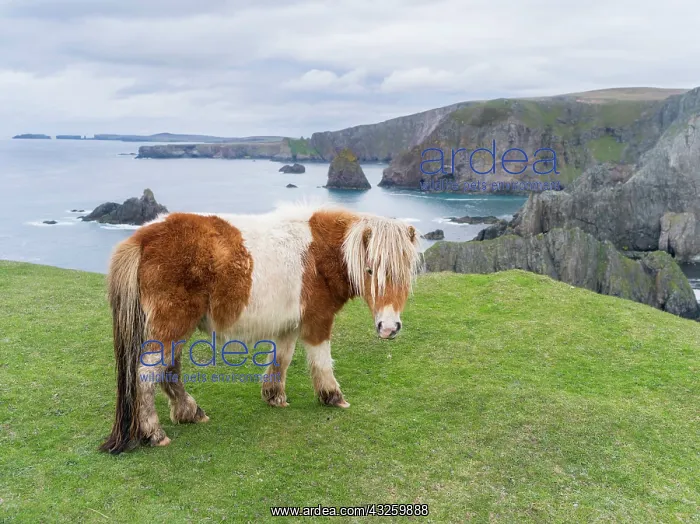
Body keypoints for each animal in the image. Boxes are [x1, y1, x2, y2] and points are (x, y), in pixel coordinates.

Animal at [99, 204, 422, 454]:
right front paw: (332, 396)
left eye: (406, 274)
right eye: (370, 271)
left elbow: (282, 359)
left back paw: (190, 412)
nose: (389, 328)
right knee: (147, 374)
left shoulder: (289, 325)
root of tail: (143, 237)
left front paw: (274, 396)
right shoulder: (317, 321)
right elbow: (321, 361)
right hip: (172, 325)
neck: (319, 253)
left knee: (169, 370)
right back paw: (154, 433)